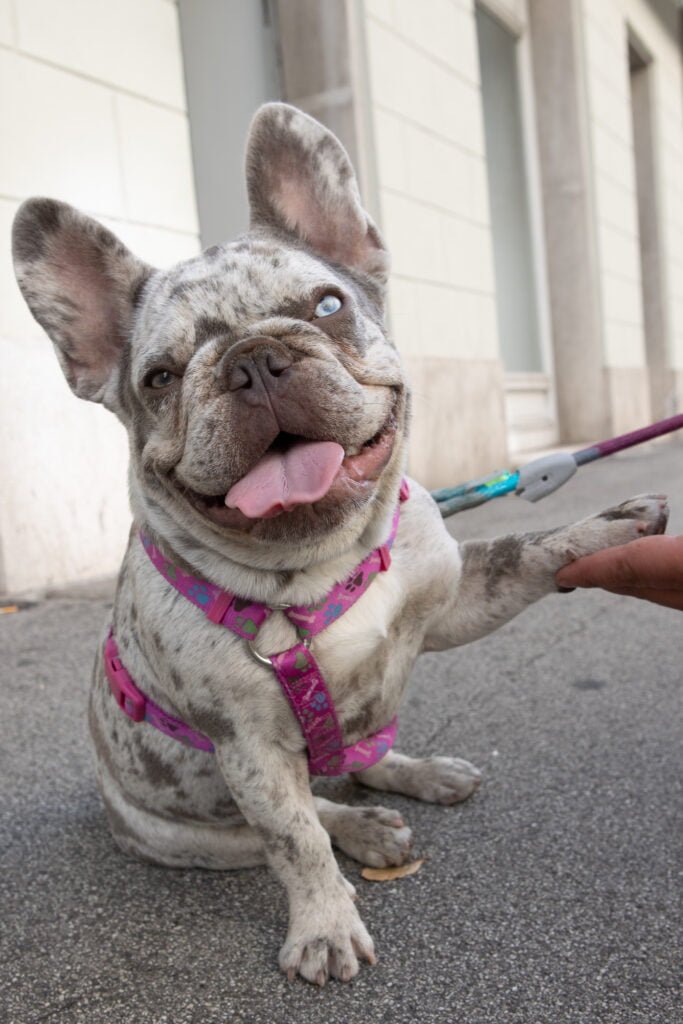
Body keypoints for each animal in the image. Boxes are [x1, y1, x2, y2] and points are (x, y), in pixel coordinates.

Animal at [10, 101, 671, 983]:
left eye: (326, 306)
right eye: (159, 378)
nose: (253, 359)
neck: (323, 566)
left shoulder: (455, 598)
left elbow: (527, 553)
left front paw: (603, 528)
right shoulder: (249, 747)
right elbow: (295, 839)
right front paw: (324, 926)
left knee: (359, 757)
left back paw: (419, 772)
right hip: (184, 836)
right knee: (309, 814)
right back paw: (365, 829)